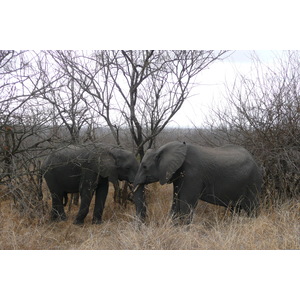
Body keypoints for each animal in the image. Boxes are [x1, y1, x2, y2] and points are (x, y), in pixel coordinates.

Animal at [134, 142, 262, 224]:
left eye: (144, 166)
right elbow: (176, 203)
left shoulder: (193, 175)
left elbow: (186, 205)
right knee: (235, 209)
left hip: (252, 183)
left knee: (252, 209)